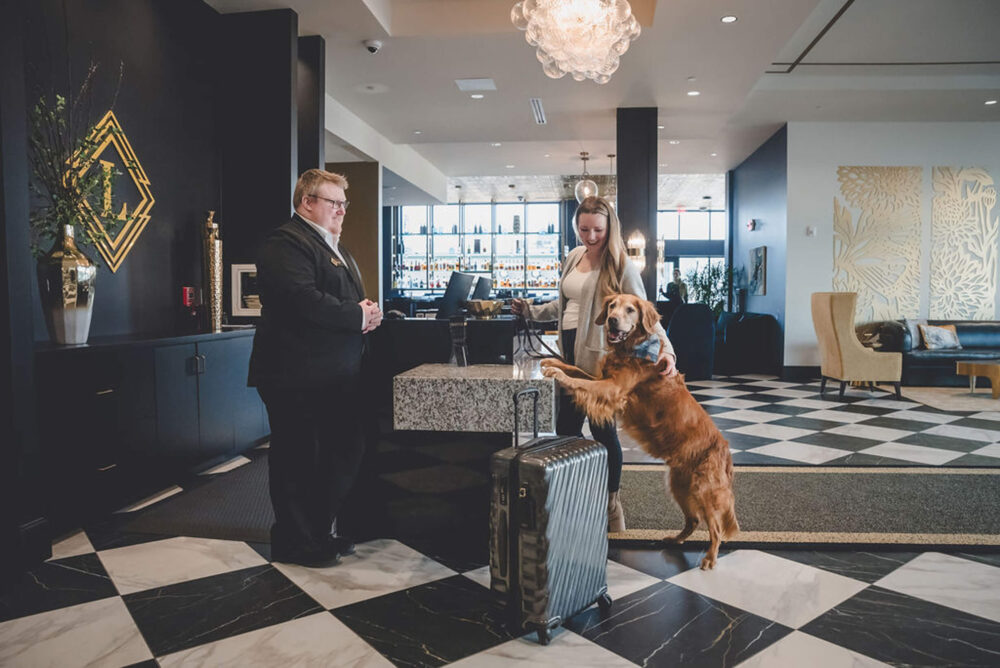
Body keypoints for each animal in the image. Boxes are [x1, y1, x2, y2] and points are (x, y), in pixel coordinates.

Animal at [544, 294, 740, 568]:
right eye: (612, 306)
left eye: (630, 310)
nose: (612, 320)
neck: (632, 348)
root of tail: (725, 450)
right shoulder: (602, 380)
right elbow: (579, 372)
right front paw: (554, 361)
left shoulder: (612, 388)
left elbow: (578, 380)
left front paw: (557, 372)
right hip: (679, 484)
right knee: (693, 520)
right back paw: (675, 540)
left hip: (704, 489)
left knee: (715, 527)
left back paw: (710, 558)